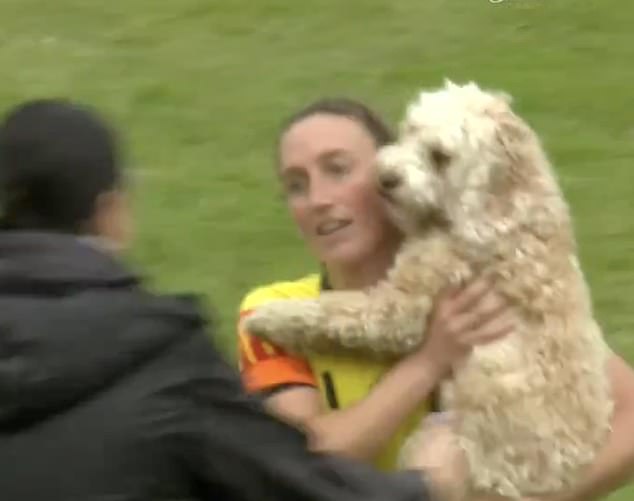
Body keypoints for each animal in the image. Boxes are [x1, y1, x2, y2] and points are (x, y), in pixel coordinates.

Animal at [246, 80, 612, 498]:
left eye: (440, 156)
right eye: (411, 131)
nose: (386, 178)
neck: (502, 205)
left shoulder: (398, 305)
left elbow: (334, 309)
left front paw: (267, 318)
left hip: (436, 444)